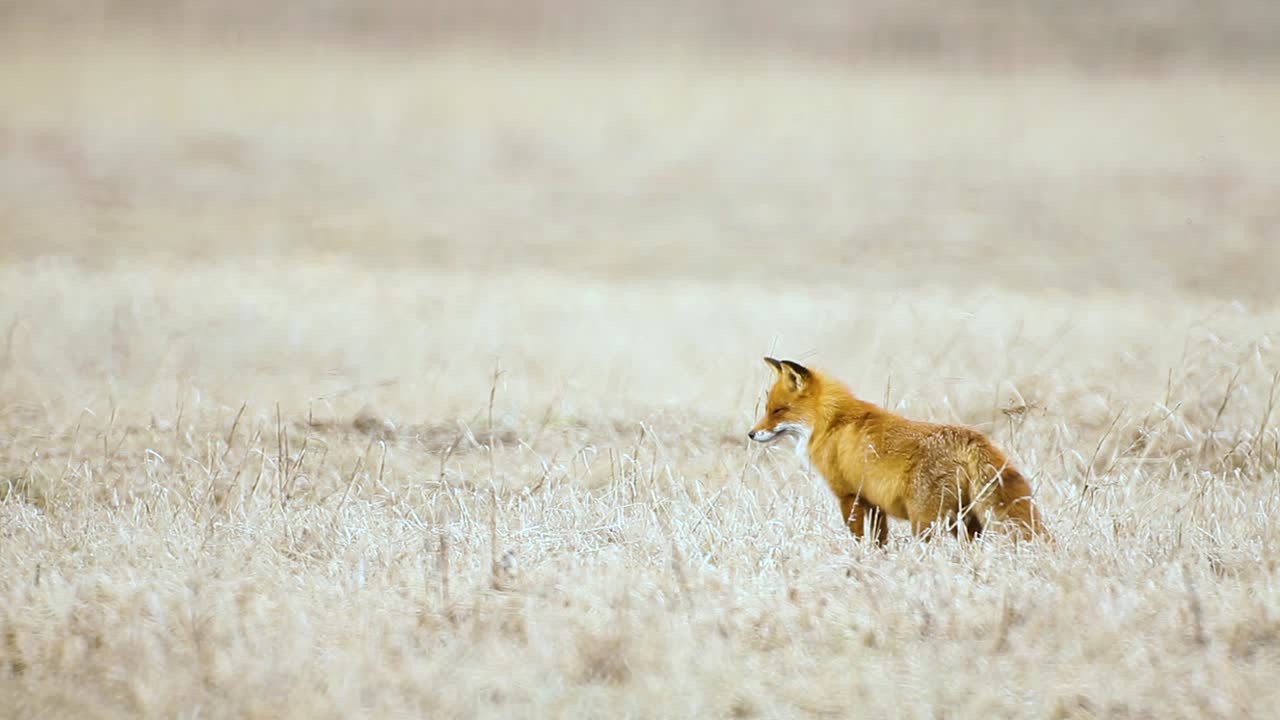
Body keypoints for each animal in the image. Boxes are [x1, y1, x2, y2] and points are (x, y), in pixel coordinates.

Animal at [749, 357, 1050, 544]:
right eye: (767, 409)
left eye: (778, 410)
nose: (751, 434)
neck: (831, 423)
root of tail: (970, 437)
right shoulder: (874, 502)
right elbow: (879, 543)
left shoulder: (849, 496)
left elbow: (858, 539)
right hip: (965, 518)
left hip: (926, 520)